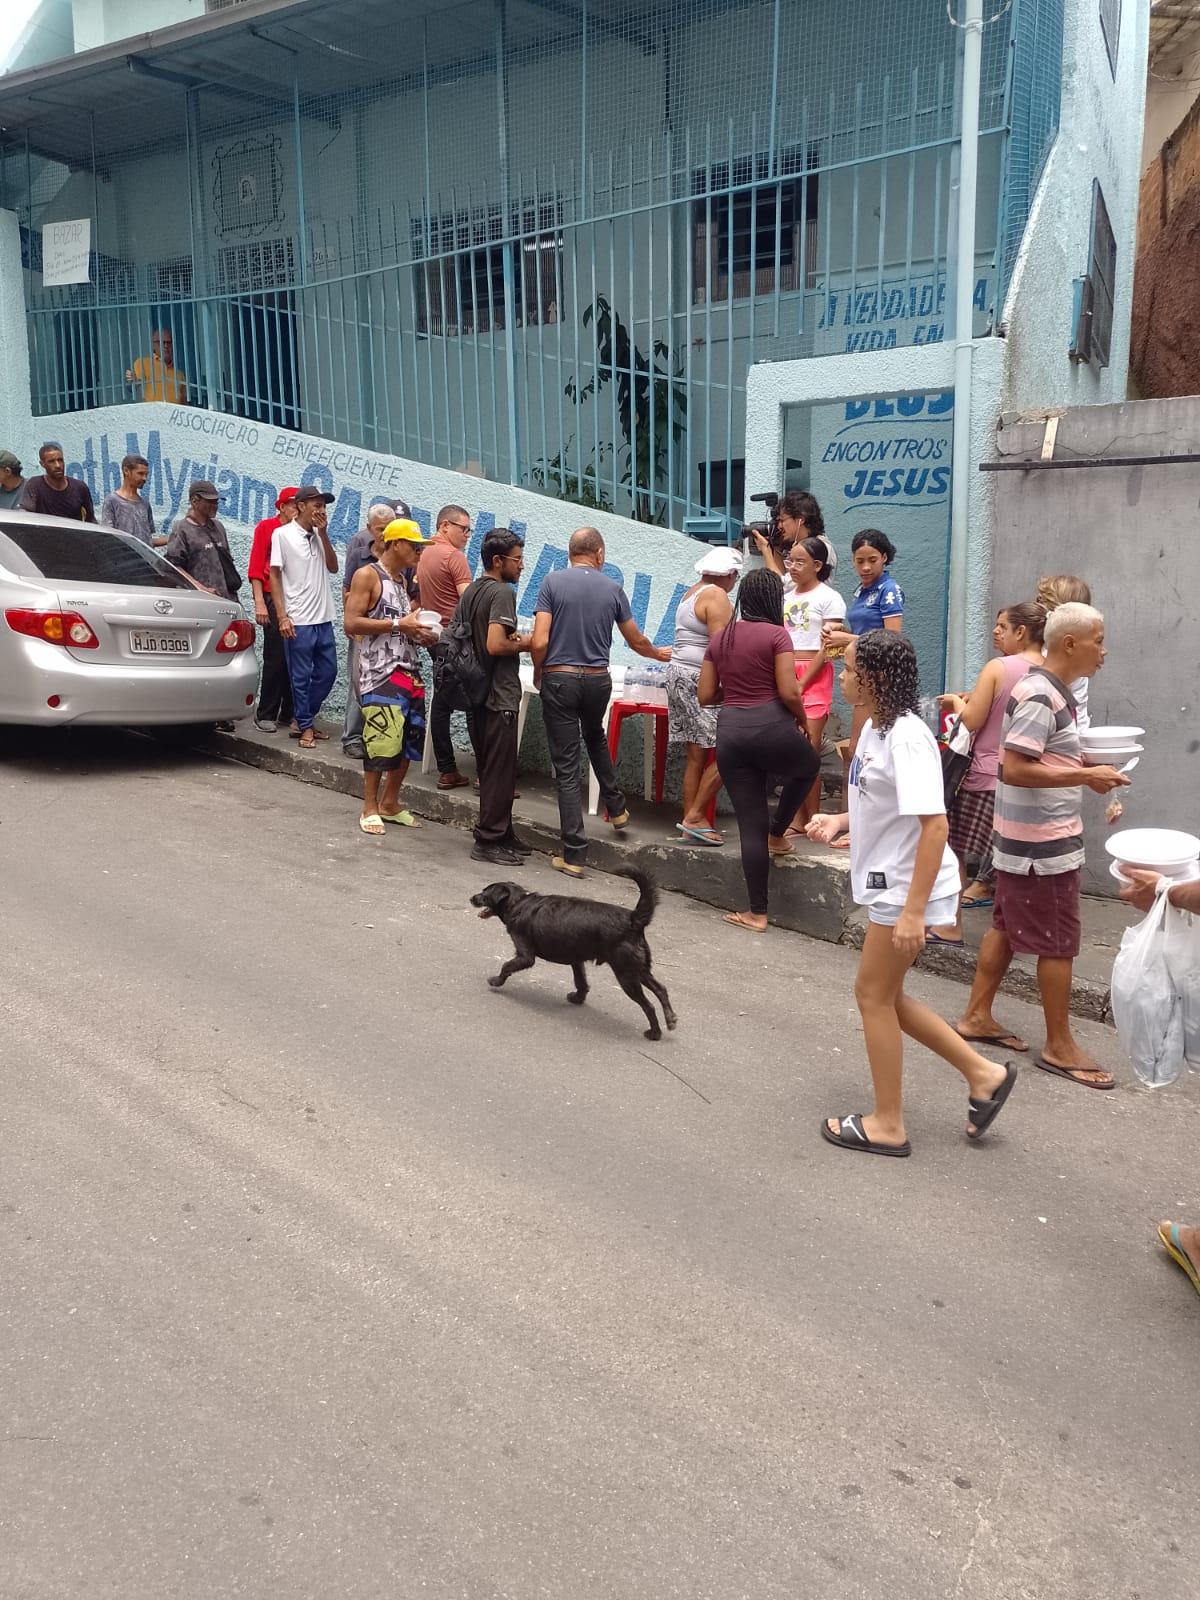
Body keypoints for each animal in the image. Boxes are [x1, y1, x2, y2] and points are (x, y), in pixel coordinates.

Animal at [470, 866, 677, 1041]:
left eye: (484, 893)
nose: (471, 898)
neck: (519, 903)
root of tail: (633, 918)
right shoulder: (576, 960)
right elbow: (581, 981)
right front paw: (578, 998)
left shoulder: (525, 956)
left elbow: (507, 965)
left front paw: (496, 981)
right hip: (638, 969)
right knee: (661, 989)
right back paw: (670, 1019)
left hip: (626, 975)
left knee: (648, 1005)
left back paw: (655, 1033)